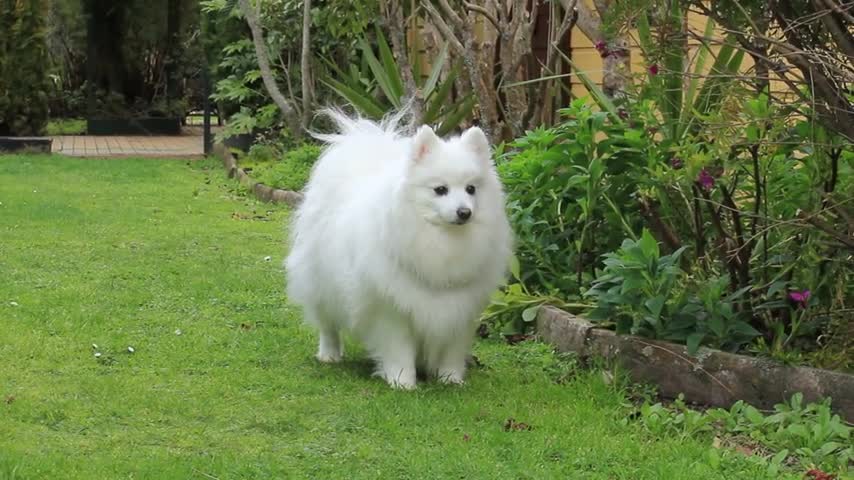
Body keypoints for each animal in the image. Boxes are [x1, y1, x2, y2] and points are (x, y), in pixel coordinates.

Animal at [288, 109, 516, 390]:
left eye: (471, 189)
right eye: (440, 190)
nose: (465, 212)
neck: (442, 242)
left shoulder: (460, 310)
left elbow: (451, 350)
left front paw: (450, 378)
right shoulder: (392, 308)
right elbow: (399, 348)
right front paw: (402, 381)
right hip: (322, 286)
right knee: (328, 326)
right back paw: (329, 355)